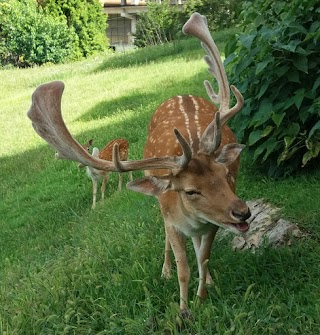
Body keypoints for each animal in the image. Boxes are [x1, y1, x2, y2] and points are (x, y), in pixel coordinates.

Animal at [27, 13, 251, 320]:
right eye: (190, 190)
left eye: (225, 174)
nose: (243, 212)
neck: (193, 219)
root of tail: (178, 95)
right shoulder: (173, 217)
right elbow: (183, 267)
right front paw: (184, 310)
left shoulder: (213, 223)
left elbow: (203, 257)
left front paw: (203, 294)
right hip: (160, 205)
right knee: (166, 237)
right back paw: (165, 270)